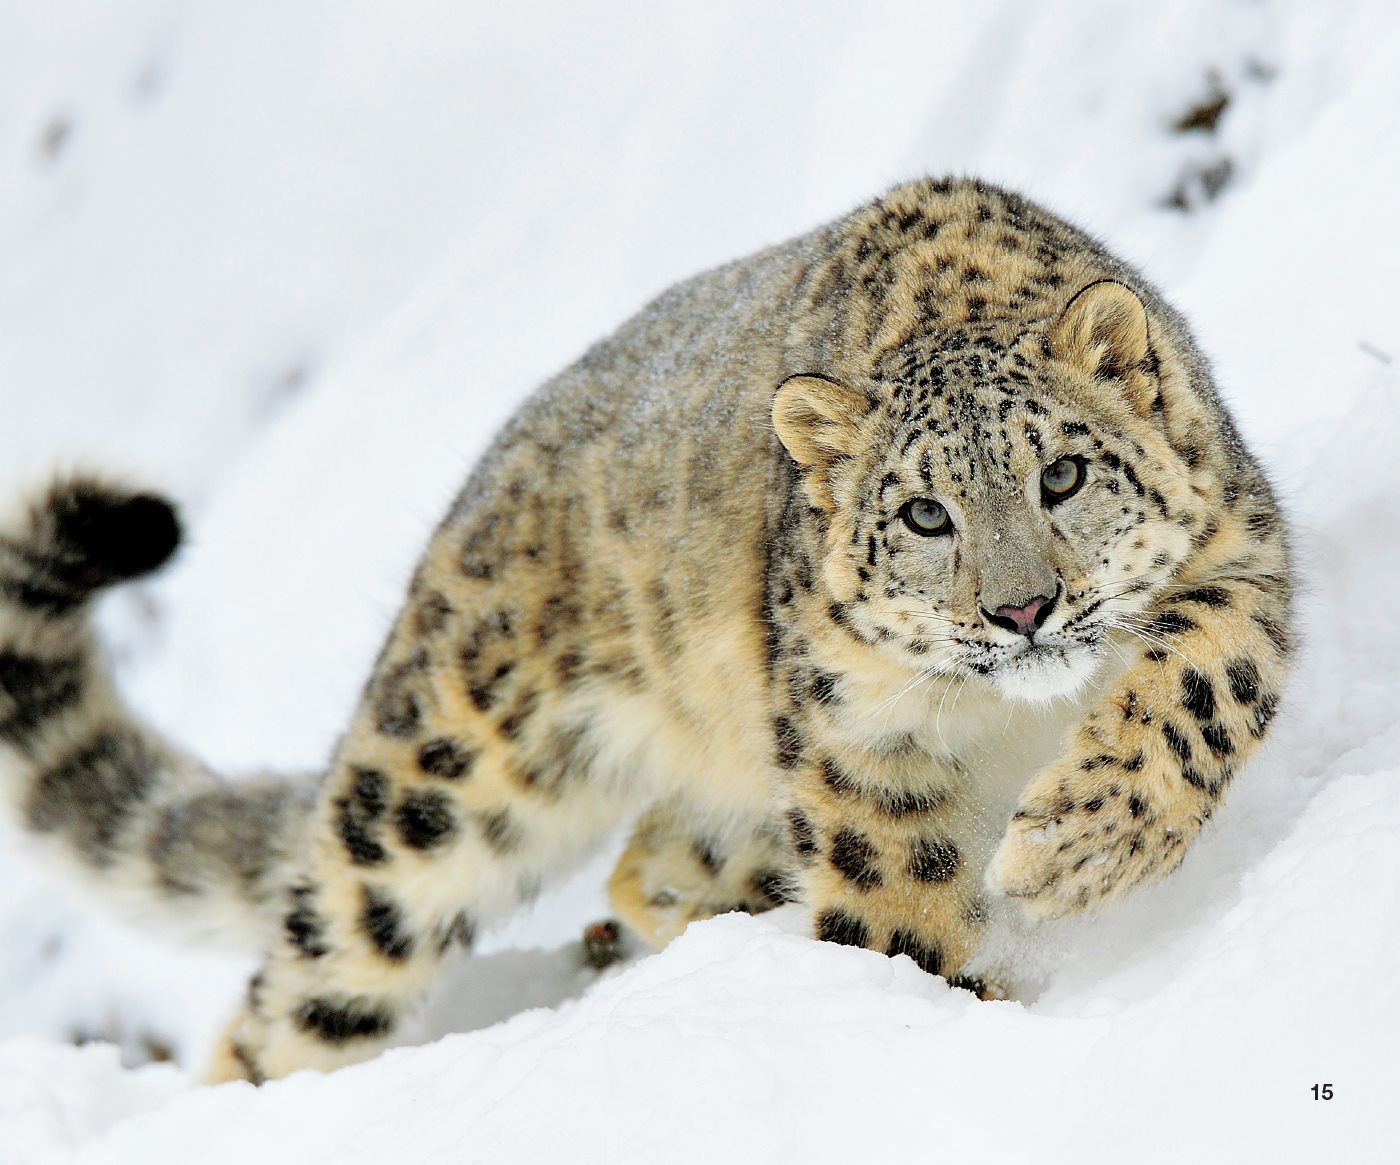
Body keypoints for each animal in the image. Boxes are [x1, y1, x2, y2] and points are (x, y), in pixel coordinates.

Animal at [0, 177, 1288, 1080]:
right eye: (923, 513)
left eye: (1061, 473)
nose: (1020, 609)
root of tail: (473, 495)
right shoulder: (860, 732)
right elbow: (895, 892)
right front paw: (931, 1005)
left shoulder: (1237, 548)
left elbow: (1199, 687)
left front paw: (1069, 850)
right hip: (433, 793)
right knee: (294, 993)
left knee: (642, 857)